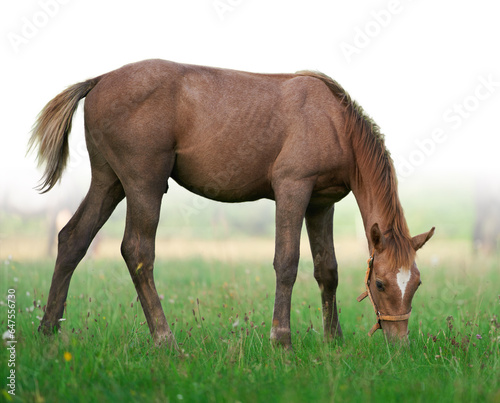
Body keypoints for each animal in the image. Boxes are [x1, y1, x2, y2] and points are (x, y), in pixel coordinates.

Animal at [30, 59, 434, 348]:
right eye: (380, 283)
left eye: (415, 283)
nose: (399, 344)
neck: (334, 122)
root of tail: (99, 80)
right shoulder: (292, 190)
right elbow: (287, 263)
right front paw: (281, 339)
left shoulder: (321, 204)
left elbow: (327, 270)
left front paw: (334, 340)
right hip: (143, 185)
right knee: (137, 251)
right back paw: (165, 340)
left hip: (108, 182)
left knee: (72, 239)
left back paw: (48, 329)